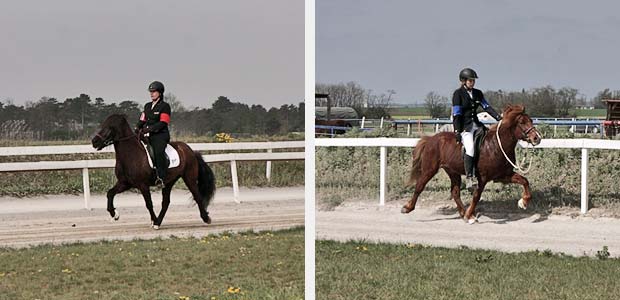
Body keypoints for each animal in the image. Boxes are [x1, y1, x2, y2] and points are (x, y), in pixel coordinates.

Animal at [402, 105, 544, 223]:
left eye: (531, 120)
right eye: (521, 122)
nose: (537, 138)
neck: (496, 145)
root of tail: (431, 139)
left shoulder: (503, 176)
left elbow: (524, 181)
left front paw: (523, 202)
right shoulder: (483, 178)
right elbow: (477, 196)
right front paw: (469, 215)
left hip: (453, 172)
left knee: (455, 192)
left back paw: (462, 212)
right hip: (429, 169)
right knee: (419, 186)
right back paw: (407, 207)